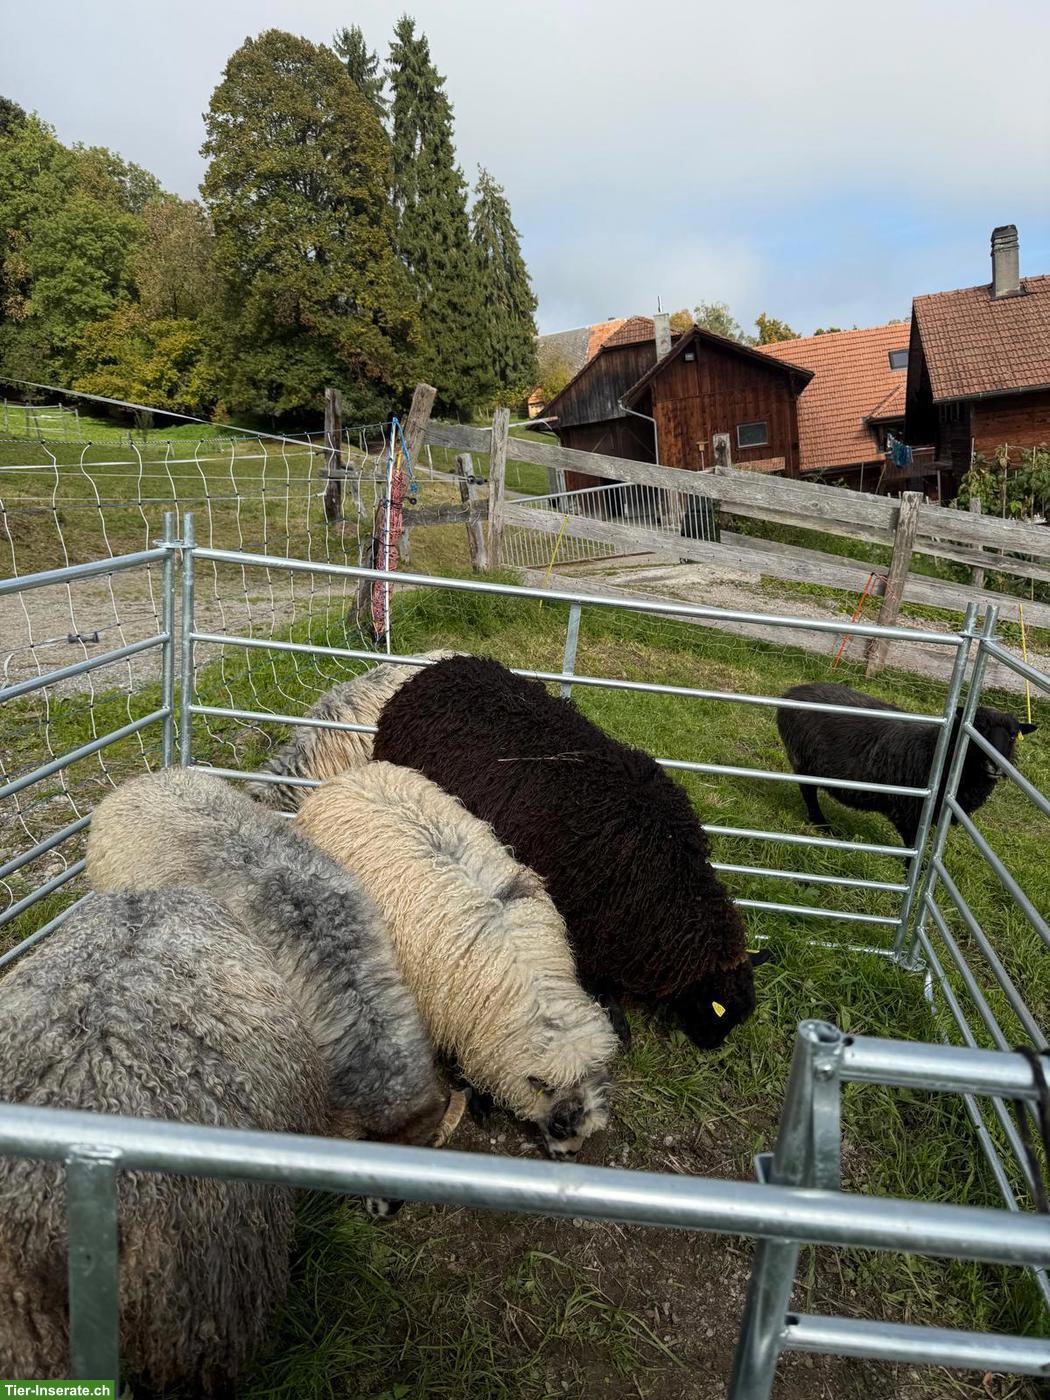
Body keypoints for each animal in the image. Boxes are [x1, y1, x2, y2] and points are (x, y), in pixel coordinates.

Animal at [776, 681, 1038, 848]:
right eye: (979, 729)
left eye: (1012, 736)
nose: (995, 766)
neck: (937, 749)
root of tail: (791, 692)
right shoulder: (910, 808)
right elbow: (912, 845)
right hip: (804, 759)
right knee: (808, 792)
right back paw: (822, 824)